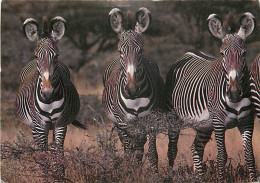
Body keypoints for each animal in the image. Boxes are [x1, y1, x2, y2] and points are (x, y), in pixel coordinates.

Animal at [15, 16, 86, 153]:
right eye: (36, 56)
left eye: (56, 56)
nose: (47, 93)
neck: (49, 102)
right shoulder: (39, 127)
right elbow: (44, 154)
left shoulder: (60, 124)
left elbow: (57, 153)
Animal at [102, 7, 164, 169]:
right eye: (120, 51)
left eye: (140, 51)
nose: (131, 89)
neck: (135, 99)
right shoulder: (123, 122)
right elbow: (129, 152)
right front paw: (131, 171)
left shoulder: (151, 120)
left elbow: (152, 155)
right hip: (119, 124)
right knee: (129, 148)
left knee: (139, 148)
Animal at [166, 13, 256, 182]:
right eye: (222, 54)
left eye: (244, 53)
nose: (234, 93)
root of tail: (187, 53)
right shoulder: (219, 123)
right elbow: (221, 157)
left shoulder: (247, 121)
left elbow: (250, 156)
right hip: (173, 117)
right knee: (172, 149)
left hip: (204, 125)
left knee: (196, 148)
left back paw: (198, 177)